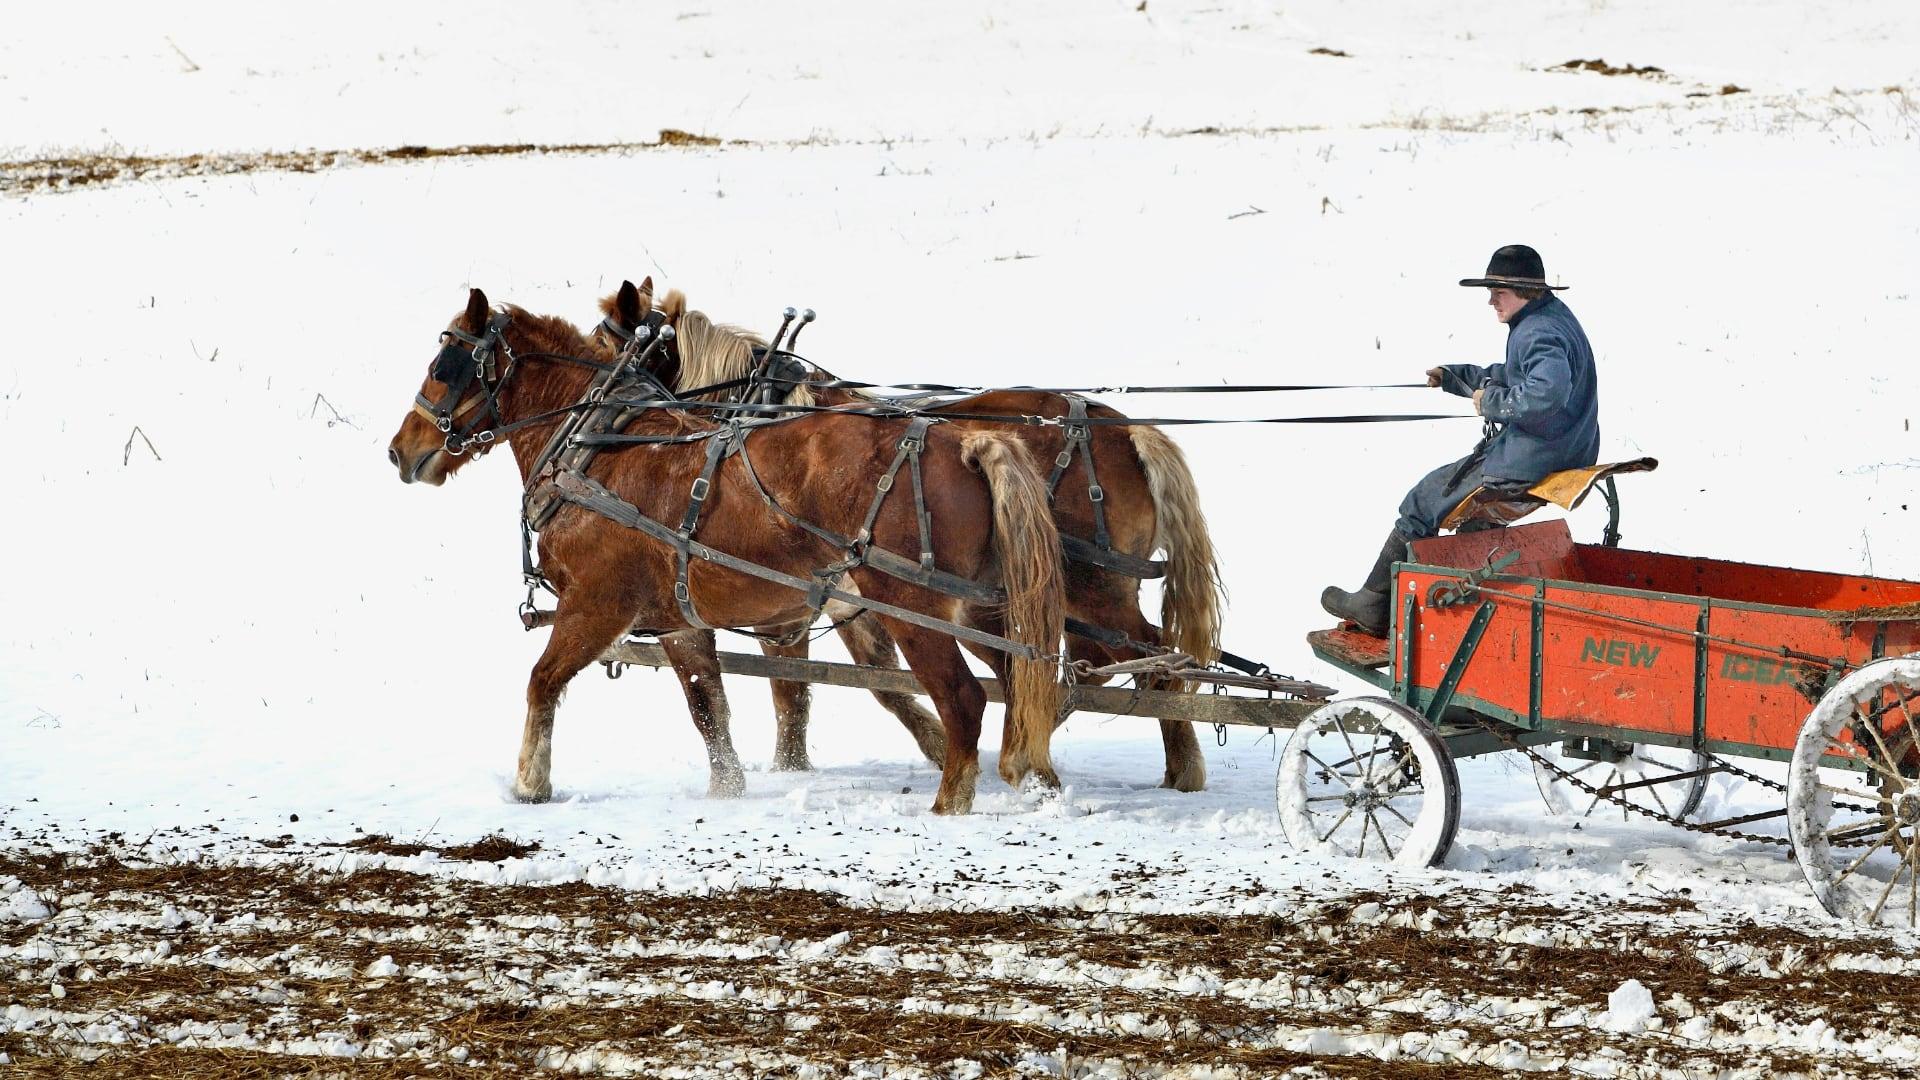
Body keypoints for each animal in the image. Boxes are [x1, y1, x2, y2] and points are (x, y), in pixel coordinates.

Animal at [386, 287, 1067, 814]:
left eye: (444, 365)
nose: (400, 450)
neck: (592, 447)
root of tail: (966, 441)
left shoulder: (596, 605)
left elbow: (542, 681)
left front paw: (530, 783)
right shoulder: (681, 621)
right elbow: (708, 703)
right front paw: (728, 789)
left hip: (913, 608)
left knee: (967, 698)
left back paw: (951, 802)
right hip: (981, 606)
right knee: (1028, 684)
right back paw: (1035, 780)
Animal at [594, 279, 1225, 791]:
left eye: (606, 347)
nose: (594, 420)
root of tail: (1130, 432)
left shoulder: (827, 599)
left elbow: (845, 686)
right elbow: (830, 687)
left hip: (1093, 589)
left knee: (1151, 659)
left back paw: (1175, 766)